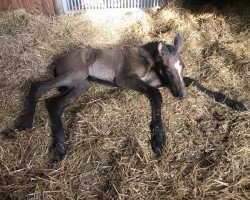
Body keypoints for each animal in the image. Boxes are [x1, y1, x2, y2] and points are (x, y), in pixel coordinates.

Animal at [14, 34, 246, 161]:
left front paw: (236, 103)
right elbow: (156, 94)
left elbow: (193, 81)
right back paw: (26, 124)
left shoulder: (157, 80)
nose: (181, 95)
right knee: (38, 87)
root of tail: (59, 61)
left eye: (182, 66)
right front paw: (158, 140)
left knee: (54, 103)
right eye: (167, 70)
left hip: (83, 83)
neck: (149, 61)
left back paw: (60, 148)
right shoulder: (125, 79)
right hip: (76, 74)